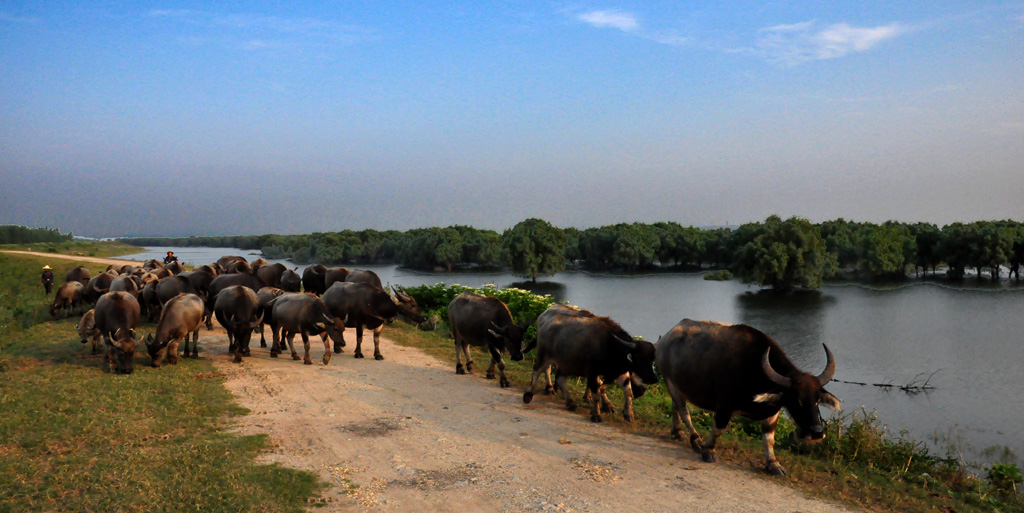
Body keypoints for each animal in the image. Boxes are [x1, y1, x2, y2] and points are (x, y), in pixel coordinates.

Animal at [524, 305, 659, 421]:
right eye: (640, 358)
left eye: (652, 359)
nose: (652, 380)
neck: (611, 345)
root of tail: (546, 319)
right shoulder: (593, 371)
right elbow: (597, 392)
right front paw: (598, 412)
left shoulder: (619, 372)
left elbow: (627, 391)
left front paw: (628, 414)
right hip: (544, 354)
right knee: (540, 370)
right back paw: (535, 393)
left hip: (566, 363)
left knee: (560, 378)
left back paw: (570, 402)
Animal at [655, 317, 839, 473]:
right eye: (796, 401)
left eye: (817, 401)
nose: (817, 432)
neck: (754, 371)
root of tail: (665, 339)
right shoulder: (724, 407)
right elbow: (718, 429)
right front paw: (709, 451)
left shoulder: (772, 412)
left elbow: (769, 439)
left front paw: (773, 464)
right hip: (670, 382)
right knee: (684, 412)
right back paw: (696, 440)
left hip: (678, 386)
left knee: (675, 406)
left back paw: (678, 432)